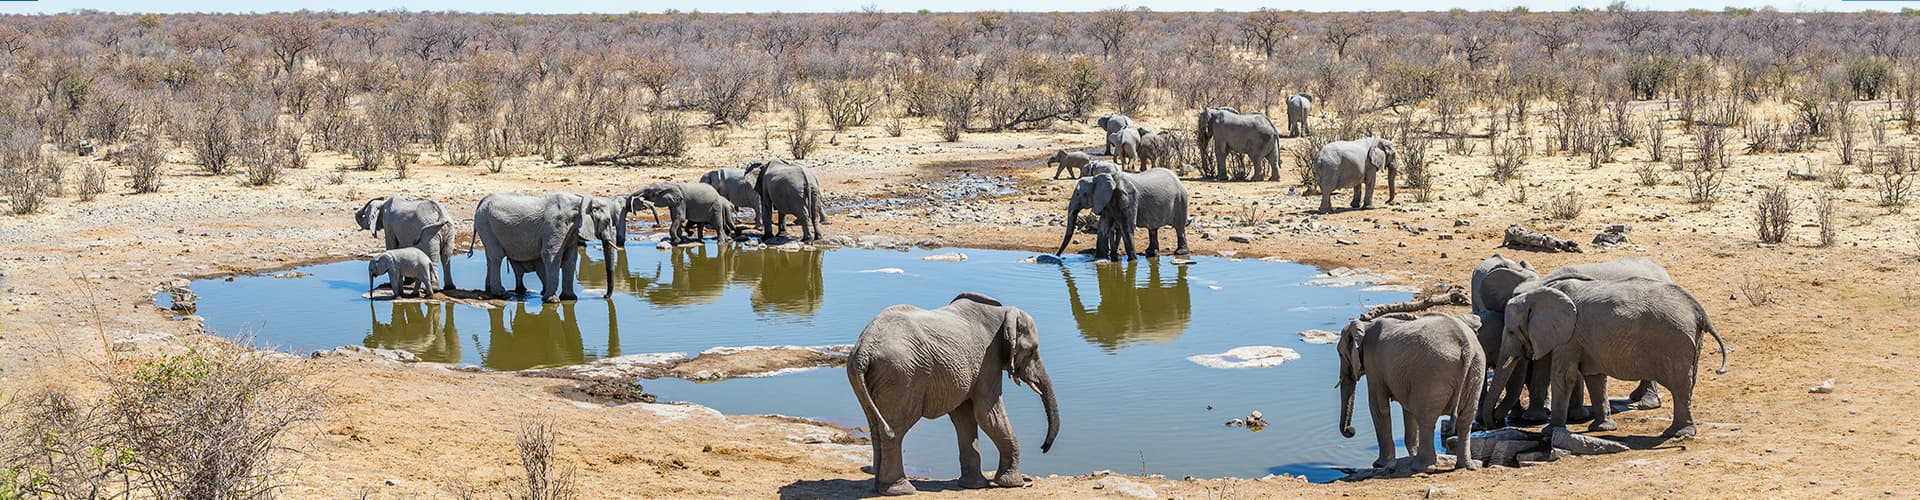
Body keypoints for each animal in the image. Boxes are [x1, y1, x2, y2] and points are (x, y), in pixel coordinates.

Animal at [470, 192, 619, 301]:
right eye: (607, 221)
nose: (604, 296)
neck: (581, 201)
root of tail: (482, 201)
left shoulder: (571, 231)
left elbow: (570, 258)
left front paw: (570, 298)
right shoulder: (555, 225)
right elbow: (552, 255)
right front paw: (552, 300)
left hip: (484, 223)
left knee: (490, 256)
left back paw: (489, 290)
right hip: (485, 223)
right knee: (497, 255)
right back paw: (500, 293)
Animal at [846, 292, 1059, 496]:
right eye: (1032, 351)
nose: (1043, 448)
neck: (1003, 312)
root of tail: (864, 349)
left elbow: (964, 417)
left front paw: (974, 486)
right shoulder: (988, 360)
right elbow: (987, 414)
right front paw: (1013, 484)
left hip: (866, 376)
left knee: (875, 426)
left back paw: (880, 488)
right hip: (901, 375)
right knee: (895, 430)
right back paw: (901, 490)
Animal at [1054, 168, 1190, 261]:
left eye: (1078, 194)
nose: (1058, 257)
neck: (1099, 178)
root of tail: (1177, 178)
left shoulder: (1128, 197)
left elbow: (1127, 227)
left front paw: (1133, 260)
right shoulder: (1106, 202)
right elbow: (1103, 227)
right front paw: (1099, 258)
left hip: (1181, 200)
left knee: (1179, 227)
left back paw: (1180, 253)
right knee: (1152, 229)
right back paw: (1151, 253)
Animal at [1338, 312, 1485, 472]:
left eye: (1339, 354)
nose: (1351, 430)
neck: (1366, 325)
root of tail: (1466, 347)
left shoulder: (1374, 365)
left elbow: (1378, 406)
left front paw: (1379, 465)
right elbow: (1407, 409)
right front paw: (1410, 455)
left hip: (1434, 372)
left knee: (1426, 419)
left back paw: (1421, 467)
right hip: (1476, 369)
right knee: (1466, 420)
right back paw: (1466, 466)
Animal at [1491, 277, 1729, 438]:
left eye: (1511, 331)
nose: (1493, 423)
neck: (1539, 293)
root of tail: (1698, 310)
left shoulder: (1569, 336)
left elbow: (1564, 376)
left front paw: (1550, 431)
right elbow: (1595, 378)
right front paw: (1601, 428)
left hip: (1675, 341)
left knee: (1680, 385)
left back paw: (1678, 434)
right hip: (1691, 340)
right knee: (1687, 384)